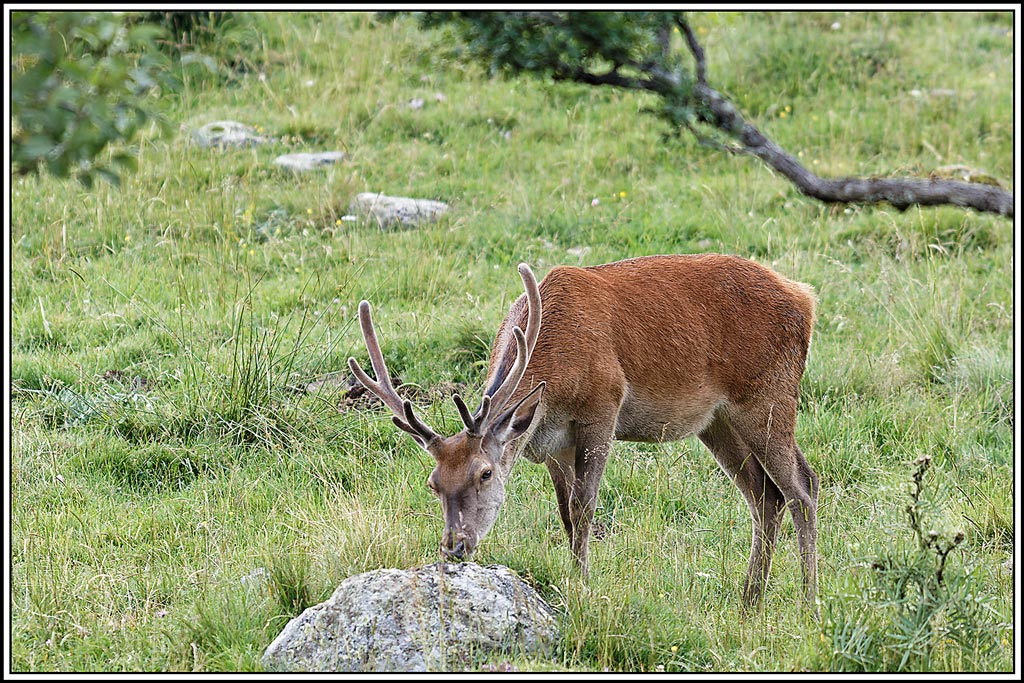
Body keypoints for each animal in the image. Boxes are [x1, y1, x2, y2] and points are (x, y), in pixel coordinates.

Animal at [349, 254, 819, 609]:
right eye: (433, 482)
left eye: (485, 473)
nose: (454, 546)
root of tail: (806, 298)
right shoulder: (553, 443)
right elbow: (565, 513)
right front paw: (576, 579)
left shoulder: (603, 405)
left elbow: (584, 507)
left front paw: (583, 586)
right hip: (717, 421)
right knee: (765, 494)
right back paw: (749, 601)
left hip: (769, 396)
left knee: (803, 486)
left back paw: (808, 602)